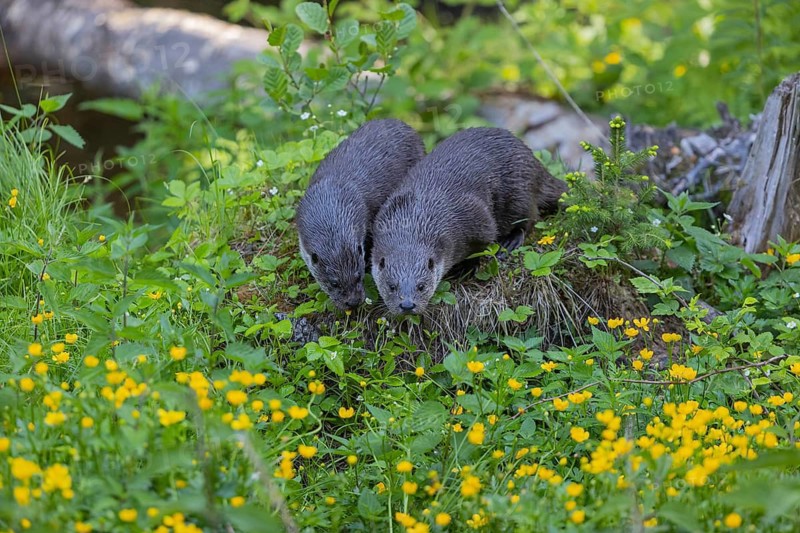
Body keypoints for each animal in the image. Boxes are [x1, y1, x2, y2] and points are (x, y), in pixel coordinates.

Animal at [371, 127, 567, 315]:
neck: (414, 217)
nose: (407, 305)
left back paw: (510, 241)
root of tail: (533, 160)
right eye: (391, 286)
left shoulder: (478, 220)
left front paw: (466, 268)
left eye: (421, 286)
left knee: (530, 217)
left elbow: (481, 247)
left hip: (519, 193)